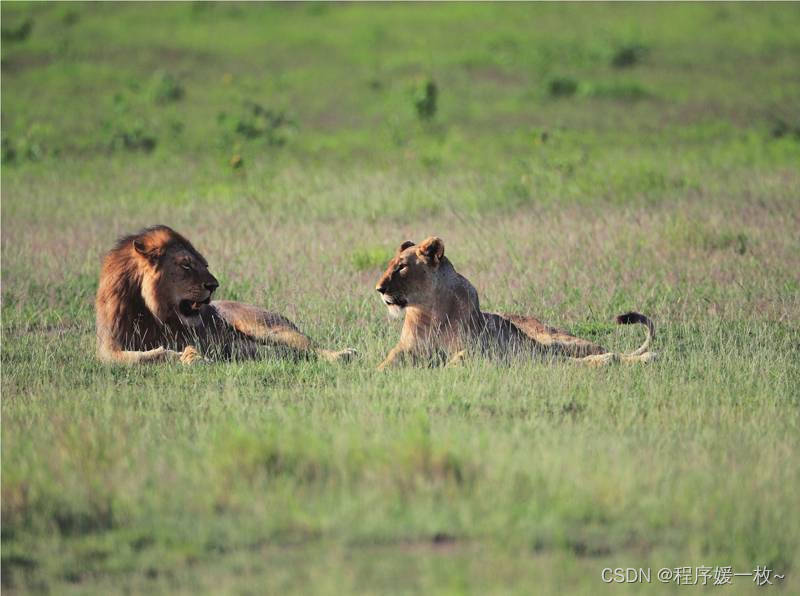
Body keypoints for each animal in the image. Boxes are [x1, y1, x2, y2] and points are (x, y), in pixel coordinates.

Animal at [95, 224, 354, 364]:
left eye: (204, 264)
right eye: (186, 265)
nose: (214, 285)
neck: (149, 309)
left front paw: (193, 357)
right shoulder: (107, 349)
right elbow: (146, 355)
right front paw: (189, 357)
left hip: (269, 327)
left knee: (309, 348)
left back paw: (344, 354)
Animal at [376, 236, 656, 368]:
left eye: (401, 267)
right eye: (390, 265)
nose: (378, 288)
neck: (429, 310)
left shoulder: (482, 347)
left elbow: (462, 356)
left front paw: (445, 368)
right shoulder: (408, 348)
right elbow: (389, 360)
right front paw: (376, 373)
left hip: (555, 342)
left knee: (605, 354)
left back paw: (644, 357)